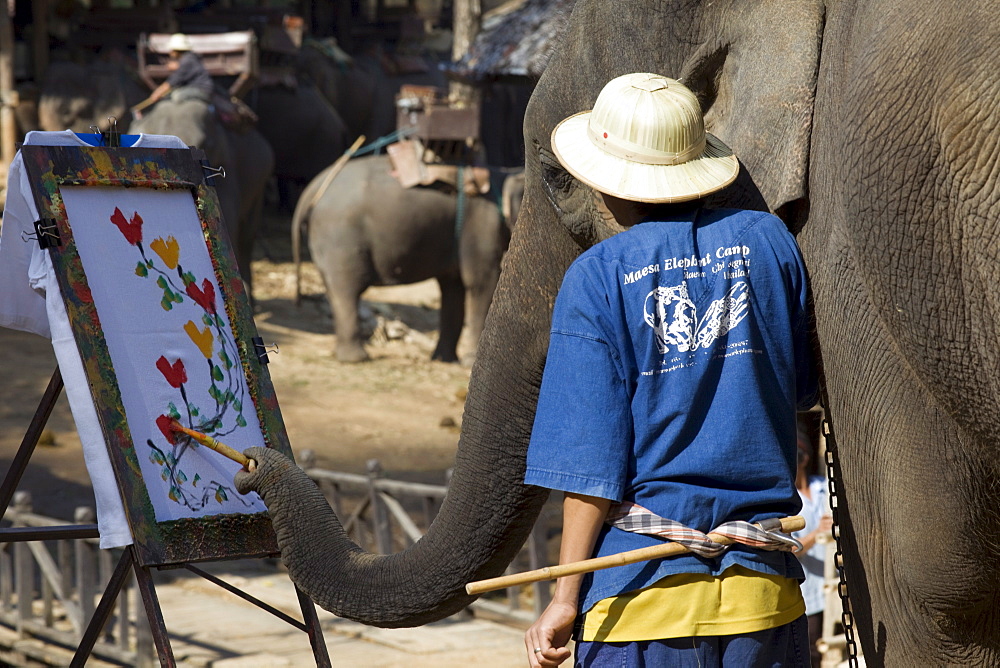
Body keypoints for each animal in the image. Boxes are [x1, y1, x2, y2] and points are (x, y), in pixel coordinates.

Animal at [292, 154, 520, 366]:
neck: (504, 175)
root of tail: (312, 190)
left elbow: (453, 289)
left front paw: (444, 360)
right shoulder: (480, 230)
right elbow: (480, 283)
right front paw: (468, 362)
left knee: (336, 291)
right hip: (341, 237)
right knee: (347, 290)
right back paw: (356, 359)